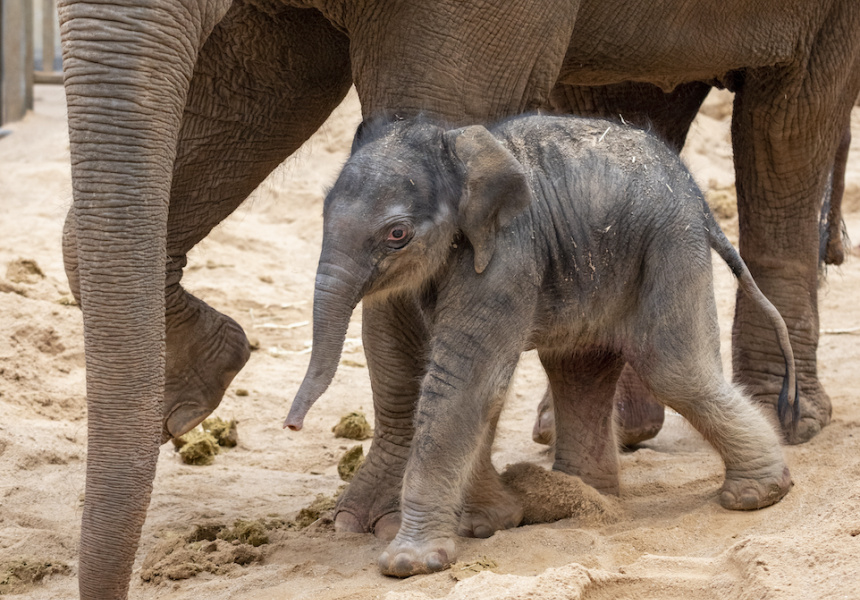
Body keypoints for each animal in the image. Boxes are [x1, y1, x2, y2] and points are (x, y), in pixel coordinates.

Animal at [286, 113, 796, 576]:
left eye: (397, 234)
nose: (292, 426)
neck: (460, 150)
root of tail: (699, 197)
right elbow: (482, 388)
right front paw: (490, 523)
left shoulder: (506, 257)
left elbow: (464, 383)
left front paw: (411, 563)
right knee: (579, 368)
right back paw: (587, 503)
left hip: (671, 244)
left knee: (672, 368)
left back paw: (755, 495)